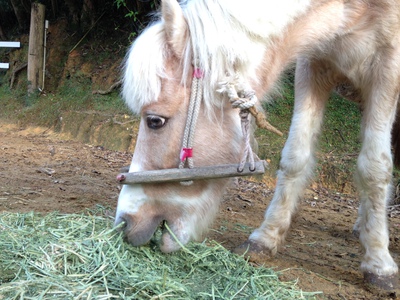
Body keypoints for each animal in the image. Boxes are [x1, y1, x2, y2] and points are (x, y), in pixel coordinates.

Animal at [115, 0, 400, 290]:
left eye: (155, 121)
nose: (124, 223)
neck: (354, 11)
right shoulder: (313, 64)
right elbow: (296, 156)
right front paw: (265, 238)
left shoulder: (388, 68)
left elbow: (374, 168)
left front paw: (379, 263)